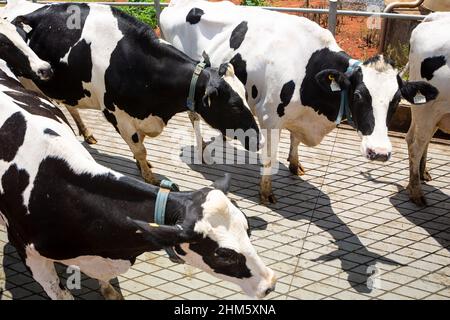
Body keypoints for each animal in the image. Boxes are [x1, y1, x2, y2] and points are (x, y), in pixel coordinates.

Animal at [0, 23, 274, 298]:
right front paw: (148, 174)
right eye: (223, 253)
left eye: (247, 228)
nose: (270, 283)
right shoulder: (117, 116)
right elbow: (140, 150)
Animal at [1, 0, 262, 186]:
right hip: (28, 80)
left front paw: (142, 165)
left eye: (246, 98)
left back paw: (87, 133)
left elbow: (142, 145)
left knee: (71, 105)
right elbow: (139, 147)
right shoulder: (117, 115)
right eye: (234, 105)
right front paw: (149, 176)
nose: (258, 139)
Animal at [159, 0, 440, 204]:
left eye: (396, 100)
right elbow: (270, 158)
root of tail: (178, 4)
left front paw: (295, 164)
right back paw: (201, 148)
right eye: (359, 95)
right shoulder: (270, 118)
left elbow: (294, 140)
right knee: (194, 115)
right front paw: (266, 192)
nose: (379, 152)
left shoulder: (299, 115)